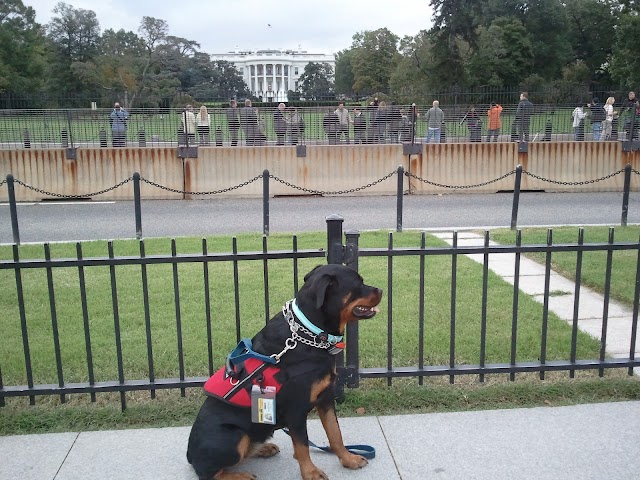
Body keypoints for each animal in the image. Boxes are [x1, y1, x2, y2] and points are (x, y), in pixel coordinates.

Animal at [188, 264, 382, 478]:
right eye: (358, 284)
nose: (381, 290)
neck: (311, 334)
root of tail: (190, 455)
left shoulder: (326, 397)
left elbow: (335, 433)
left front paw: (348, 459)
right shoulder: (295, 410)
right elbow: (302, 445)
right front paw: (310, 473)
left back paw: (263, 448)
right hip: (234, 437)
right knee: (209, 472)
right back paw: (241, 475)